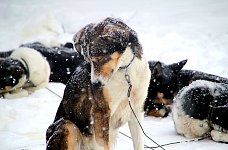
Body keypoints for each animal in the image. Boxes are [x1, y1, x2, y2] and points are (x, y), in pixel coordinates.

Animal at [45, 17, 151, 150]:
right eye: (89, 61)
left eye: (99, 59)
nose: (95, 84)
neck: (124, 71)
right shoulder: (100, 111)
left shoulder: (136, 110)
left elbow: (139, 142)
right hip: (68, 125)